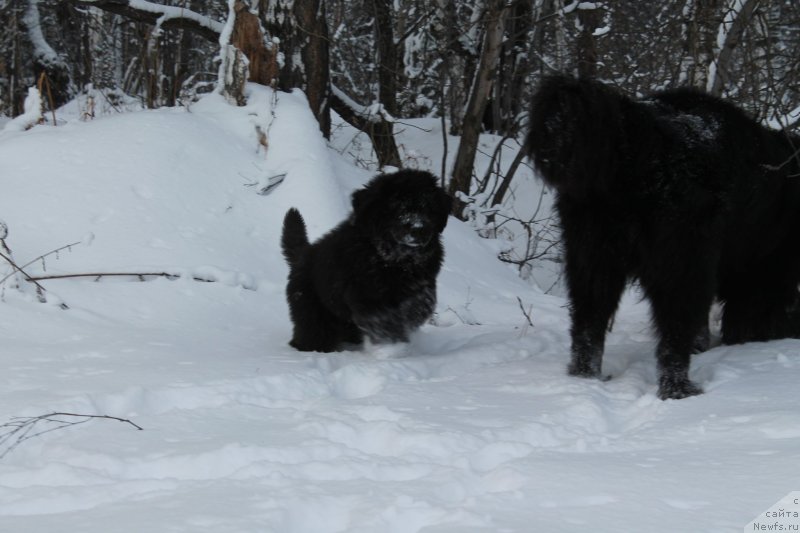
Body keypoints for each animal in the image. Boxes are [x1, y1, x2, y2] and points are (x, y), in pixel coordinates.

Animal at [282, 170, 450, 352]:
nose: (418, 228)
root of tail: (302, 255)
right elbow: (383, 317)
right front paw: (391, 343)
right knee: (313, 332)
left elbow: (421, 301)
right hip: (312, 310)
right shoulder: (366, 293)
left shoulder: (424, 281)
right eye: (398, 206)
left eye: (428, 208)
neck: (396, 260)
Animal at [524, 74, 800, 400]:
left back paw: (585, 378)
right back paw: (678, 389)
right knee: (672, 333)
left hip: (592, 255)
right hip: (679, 259)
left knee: (588, 323)